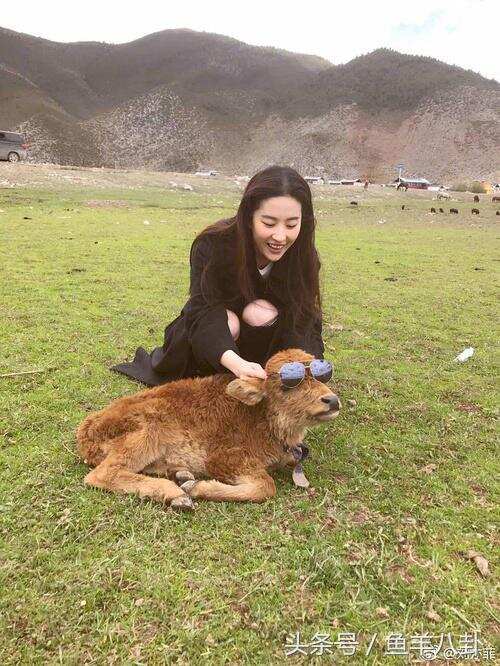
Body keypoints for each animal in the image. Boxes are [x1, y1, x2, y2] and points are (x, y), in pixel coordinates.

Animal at [77, 348, 340, 508]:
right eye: (287, 385)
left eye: (321, 377)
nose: (332, 401)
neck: (261, 416)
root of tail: (86, 431)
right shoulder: (223, 458)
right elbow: (266, 486)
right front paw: (196, 488)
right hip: (147, 433)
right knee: (103, 473)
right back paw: (178, 494)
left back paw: (180, 475)